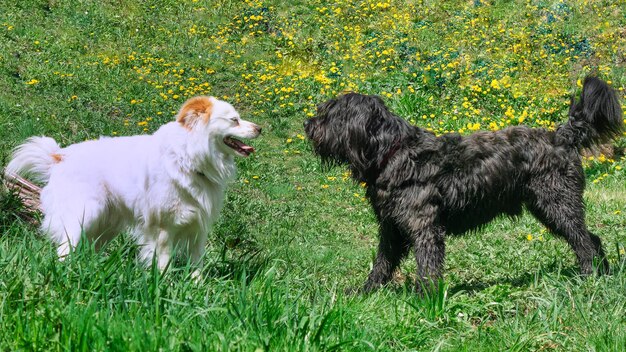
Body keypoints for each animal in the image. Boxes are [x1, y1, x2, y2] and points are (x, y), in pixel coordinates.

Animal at [5, 97, 258, 276]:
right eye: (234, 120)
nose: (260, 129)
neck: (189, 158)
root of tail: (59, 157)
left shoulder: (198, 229)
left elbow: (197, 266)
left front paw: (196, 290)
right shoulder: (163, 230)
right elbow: (163, 263)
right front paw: (164, 288)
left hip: (105, 226)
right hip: (84, 216)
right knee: (64, 250)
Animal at [302, 77, 620, 292]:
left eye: (331, 114)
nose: (307, 124)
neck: (396, 152)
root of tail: (562, 136)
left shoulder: (424, 227)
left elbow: (428, 266)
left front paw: (427, 301)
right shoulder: (391, 227)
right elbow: (381, 263)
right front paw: (365, 292)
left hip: (557, 205)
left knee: (584, 242)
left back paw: (589, 279)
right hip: (551, 208)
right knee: (592, 239)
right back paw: (599, 275)